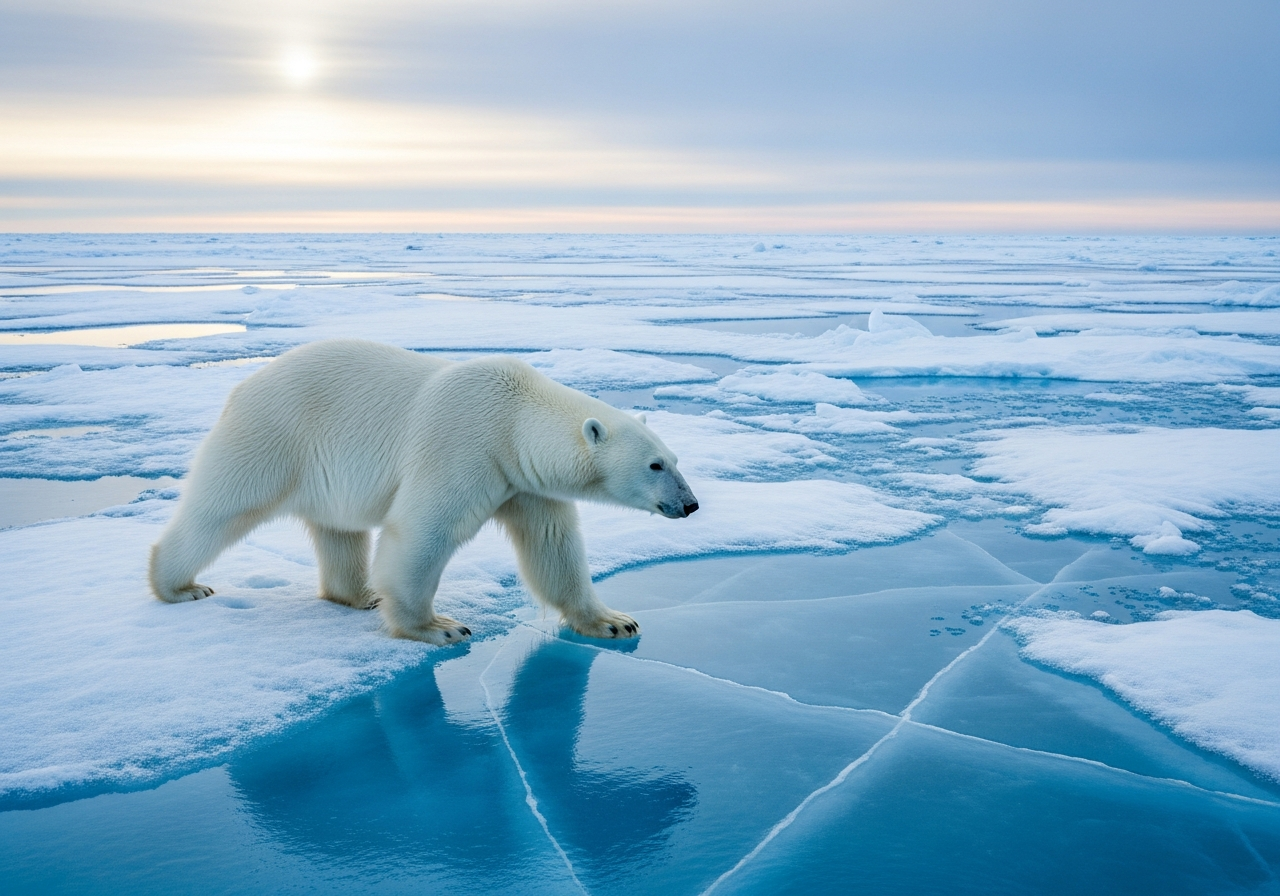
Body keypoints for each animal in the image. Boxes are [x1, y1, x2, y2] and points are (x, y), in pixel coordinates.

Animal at [149, 339, 699, 645]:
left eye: (675, 459)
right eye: (654, 465)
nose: (691, 504)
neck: (514, 420)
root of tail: (241, 386)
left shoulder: (523, 481)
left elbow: (553, 548)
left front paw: (612, 621)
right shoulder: (465, 445)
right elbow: (422, 533)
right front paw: (439, 627)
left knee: (339, 529)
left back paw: (360, 594)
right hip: (273, 435)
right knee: (221, 507)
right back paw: (179, 585)